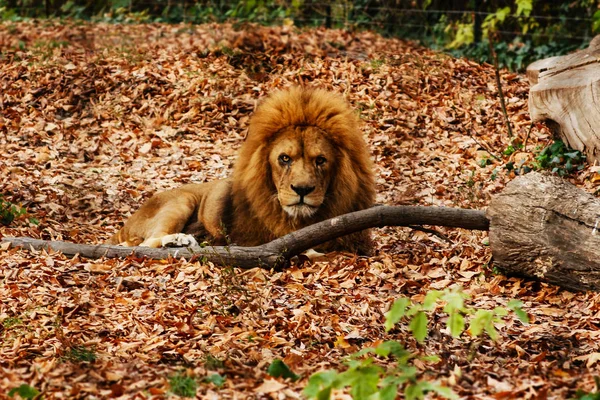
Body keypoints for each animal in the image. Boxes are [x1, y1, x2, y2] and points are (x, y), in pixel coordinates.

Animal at [109, 86, 376, 253]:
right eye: (285, 159)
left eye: (320, 160)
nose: (302, 190)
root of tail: (125, 225)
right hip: (180, 201)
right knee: (145, 244)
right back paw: (180, 240)